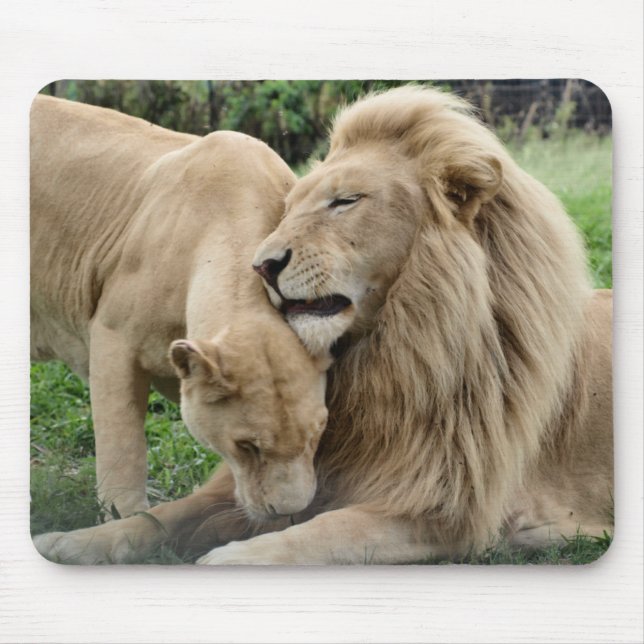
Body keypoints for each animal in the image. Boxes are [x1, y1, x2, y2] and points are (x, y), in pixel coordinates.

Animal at [31, 96, 329, 563]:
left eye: (317, 435)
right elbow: (123, 450)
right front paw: (122, 518)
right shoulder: (112, 339)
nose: (289, 511)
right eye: (247, 446)